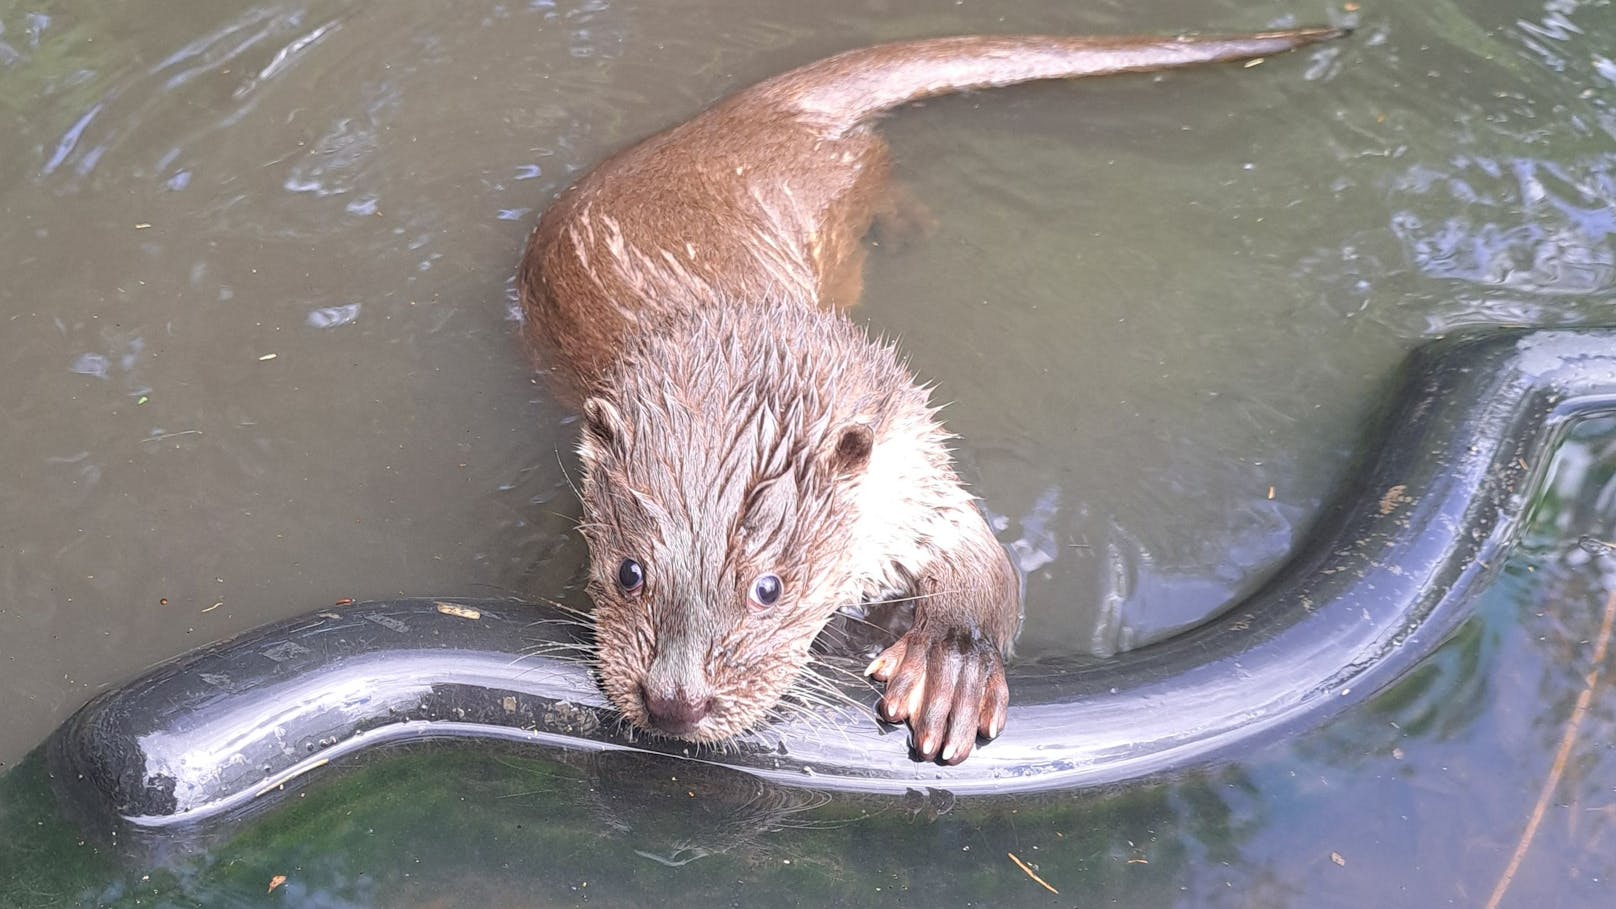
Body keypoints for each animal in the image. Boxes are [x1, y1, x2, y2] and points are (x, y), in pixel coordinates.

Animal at [513, 28, 1338, 760]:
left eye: (769, 587)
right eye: (629, 573)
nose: (674, 699)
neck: (741, 332)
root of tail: (753, 114)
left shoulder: (915, 474)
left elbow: (983, 563)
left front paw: (951, 667)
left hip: (844, 175)